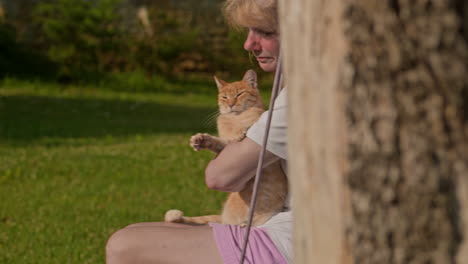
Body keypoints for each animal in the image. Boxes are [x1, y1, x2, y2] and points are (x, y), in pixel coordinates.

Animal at [165, 69, 288, 227]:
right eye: (224, 97)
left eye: (239, 94)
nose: (230, 104)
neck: (233, 119)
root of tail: (224, 219)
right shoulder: (226, 146)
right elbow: (218, 142)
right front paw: (201, 140)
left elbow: (250, 117)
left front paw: (240, 129)